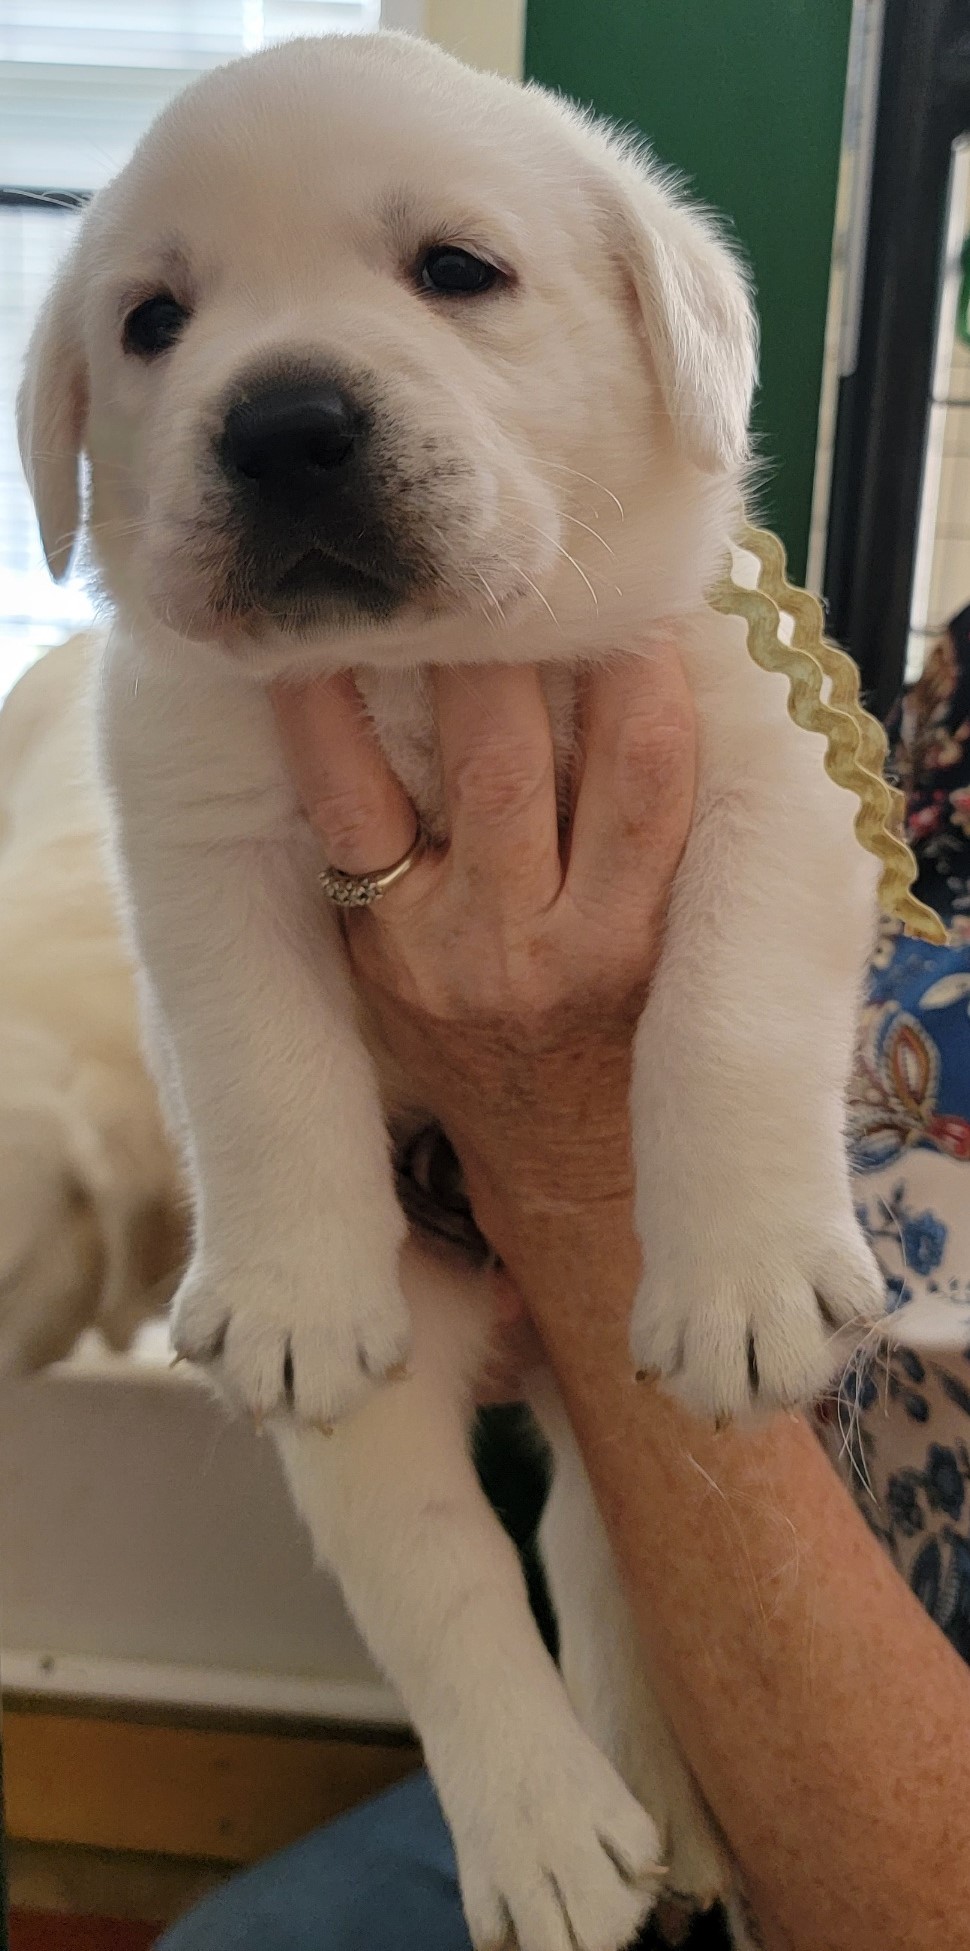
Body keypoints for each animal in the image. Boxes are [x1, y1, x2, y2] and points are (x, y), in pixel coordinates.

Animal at [18, 34, 886, 1951]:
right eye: (155, 320)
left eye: (458, 272)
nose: (282, 422)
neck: (422, 676)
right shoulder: (195, 833)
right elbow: (258, 1065)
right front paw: (286, 1277)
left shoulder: (771, 778)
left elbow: (724, 1019)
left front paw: (745, 1277)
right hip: (378, 1402)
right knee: (447, 1566)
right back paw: (554, 1833)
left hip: (602, 1360)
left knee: (600, 1550)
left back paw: (663, 1811)